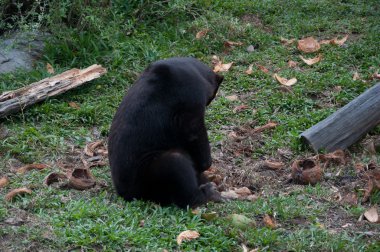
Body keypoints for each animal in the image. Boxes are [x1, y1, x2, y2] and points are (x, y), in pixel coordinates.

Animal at [107, 57, 223, 209]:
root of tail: (126, 194)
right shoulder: (192, 107)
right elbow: (195, 134)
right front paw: (206, 165)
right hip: (160, 167)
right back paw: (210, 191)